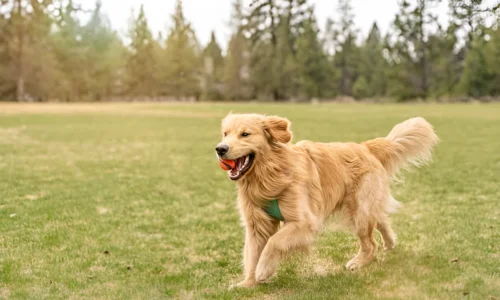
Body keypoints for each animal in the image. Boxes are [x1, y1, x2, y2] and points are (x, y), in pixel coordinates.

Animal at [215, 113, 438, 288]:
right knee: (381, 219)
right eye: (225, 133)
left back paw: (358, 262)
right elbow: (252, 253)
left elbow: (274, 242)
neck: (270, 175)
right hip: (363, 208)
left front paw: (263, 270)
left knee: (370, 243)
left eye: (245, 134)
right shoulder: (256, 225)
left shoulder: (303, 222)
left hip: (359, 211)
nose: (220, 149)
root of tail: (365, 147)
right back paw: (390, 242)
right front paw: (248, 283)